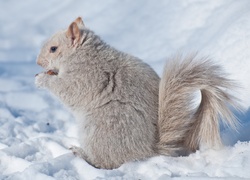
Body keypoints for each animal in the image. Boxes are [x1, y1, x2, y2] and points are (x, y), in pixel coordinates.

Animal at [35, 16, 240, 169]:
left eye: (53, 49)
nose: (38, 62)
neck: (83, 54)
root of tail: (150, 150)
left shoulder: (86, 76)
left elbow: (68, 90)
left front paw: (41, 79)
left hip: (101, 129)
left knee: (106, 161)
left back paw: (81, 153)